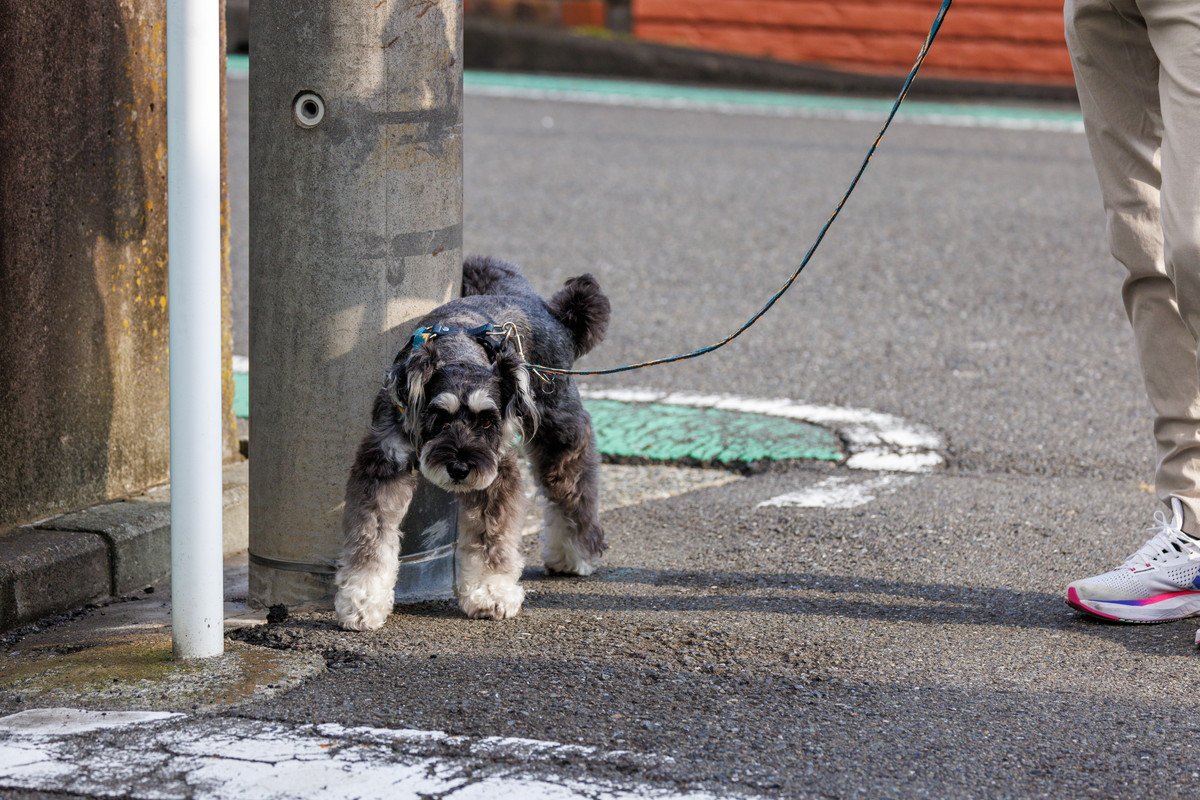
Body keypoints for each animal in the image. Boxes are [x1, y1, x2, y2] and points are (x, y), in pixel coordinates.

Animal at [336, 256, 609, 633]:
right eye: (439, 416)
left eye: (487, 420)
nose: (460, 469)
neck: (459, 352)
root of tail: (551, 311)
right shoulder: (384, 463)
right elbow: (371, 536)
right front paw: (362, 602)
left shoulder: (496, 473)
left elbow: (489, 538)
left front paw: (490, 592)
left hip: (559, 429)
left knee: (573, 485)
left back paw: (575, 553)